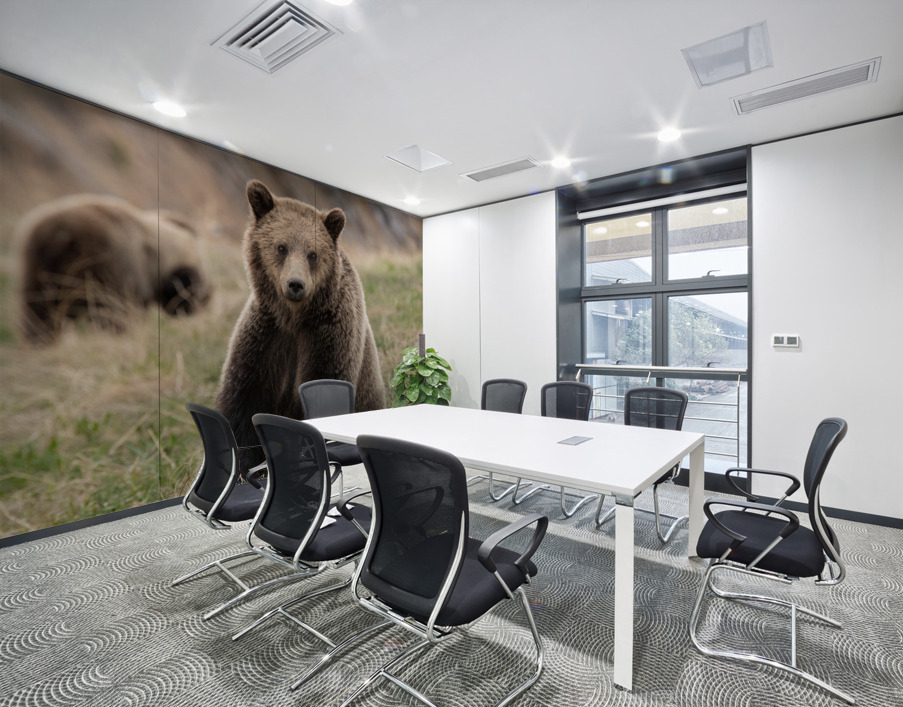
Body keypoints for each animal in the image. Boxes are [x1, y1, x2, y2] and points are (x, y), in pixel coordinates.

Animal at [16, 194, 211, 344]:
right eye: (197, 282)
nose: (207, 299)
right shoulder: (118, 275)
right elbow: (117, 315)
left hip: (36, 270)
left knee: (38, 312)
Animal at [214, 180, 385, 471]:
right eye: (281, 247)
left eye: (312, 254)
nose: (295, 284)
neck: (295, 318)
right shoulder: (265, 338)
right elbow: (242, 402)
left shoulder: (328, 336)